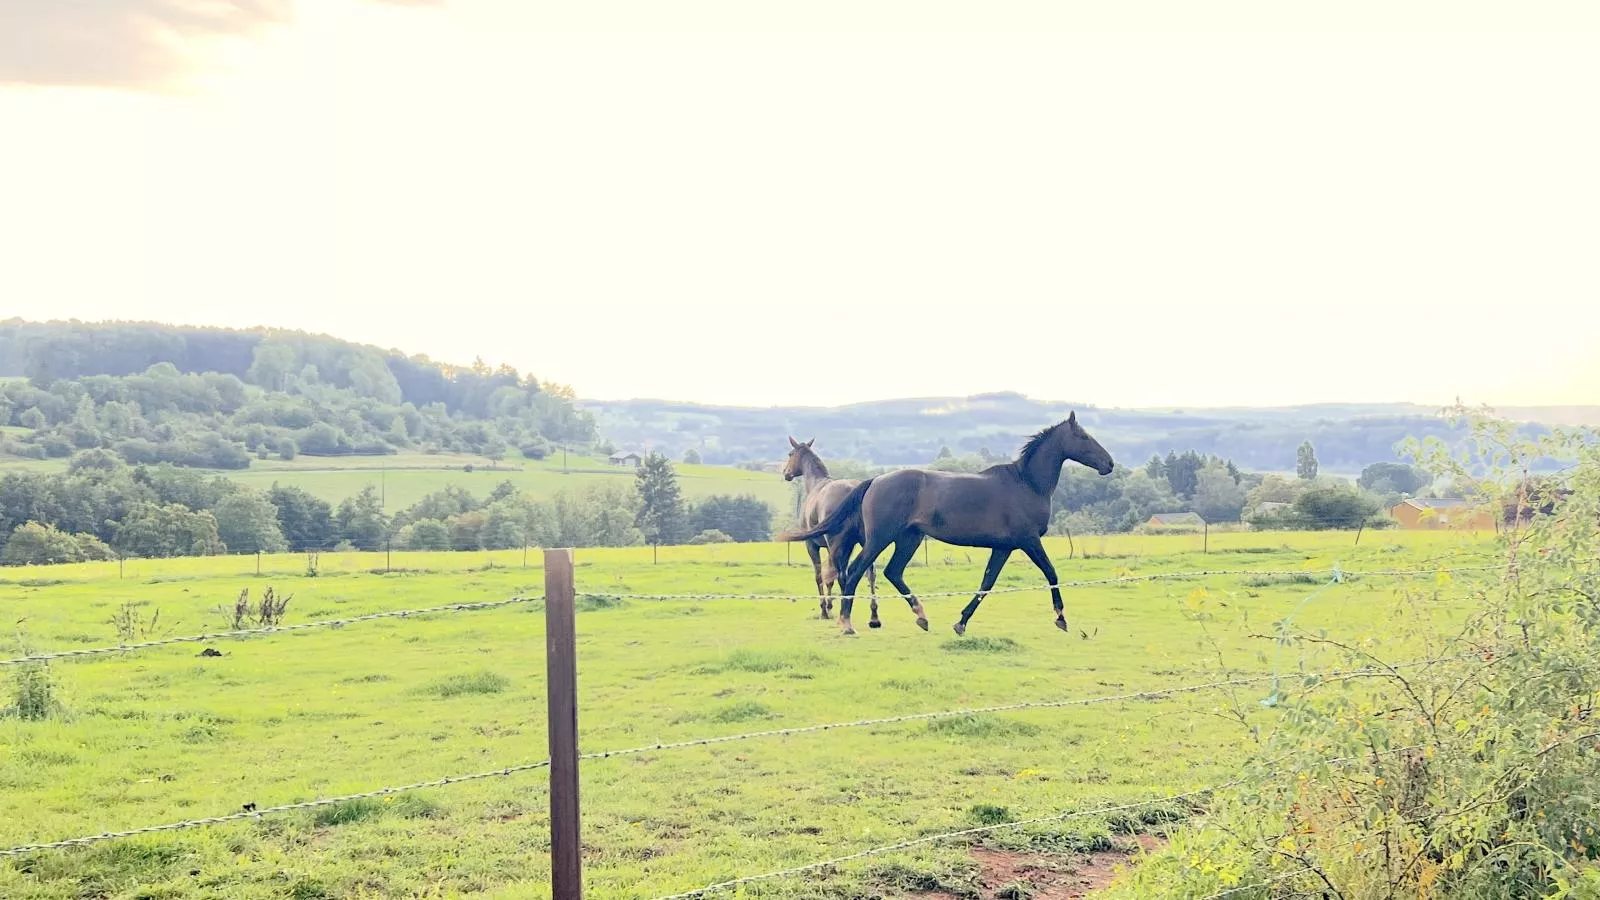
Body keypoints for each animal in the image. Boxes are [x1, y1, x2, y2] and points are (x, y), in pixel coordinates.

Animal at [780, 438, 883, 621]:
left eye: (790, 454)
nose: (786, 473)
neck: (816, 484)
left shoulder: (812, 545)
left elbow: (820, 576)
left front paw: (824, 609)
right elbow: (830, 577)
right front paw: (829, 605)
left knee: (844, 575)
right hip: (865, 542)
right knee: (869, 573)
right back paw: (873, 612)